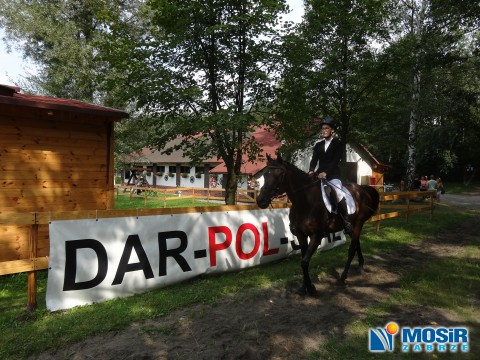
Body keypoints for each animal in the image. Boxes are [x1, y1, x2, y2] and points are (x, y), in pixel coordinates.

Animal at [255, 155, 378, 296]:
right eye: (265, 175)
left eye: (279, 175)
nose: (261, 200)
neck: (305, 202)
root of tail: (362, 189)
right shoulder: (301, 235)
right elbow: (303, 260)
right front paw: (305, 287)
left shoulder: (316, 236)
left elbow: (304, 262)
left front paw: (311, 288)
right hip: (351, 227)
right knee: (357, 243)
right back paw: (360, 265)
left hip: (359, 223)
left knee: (352, 249)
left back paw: (343, 277)